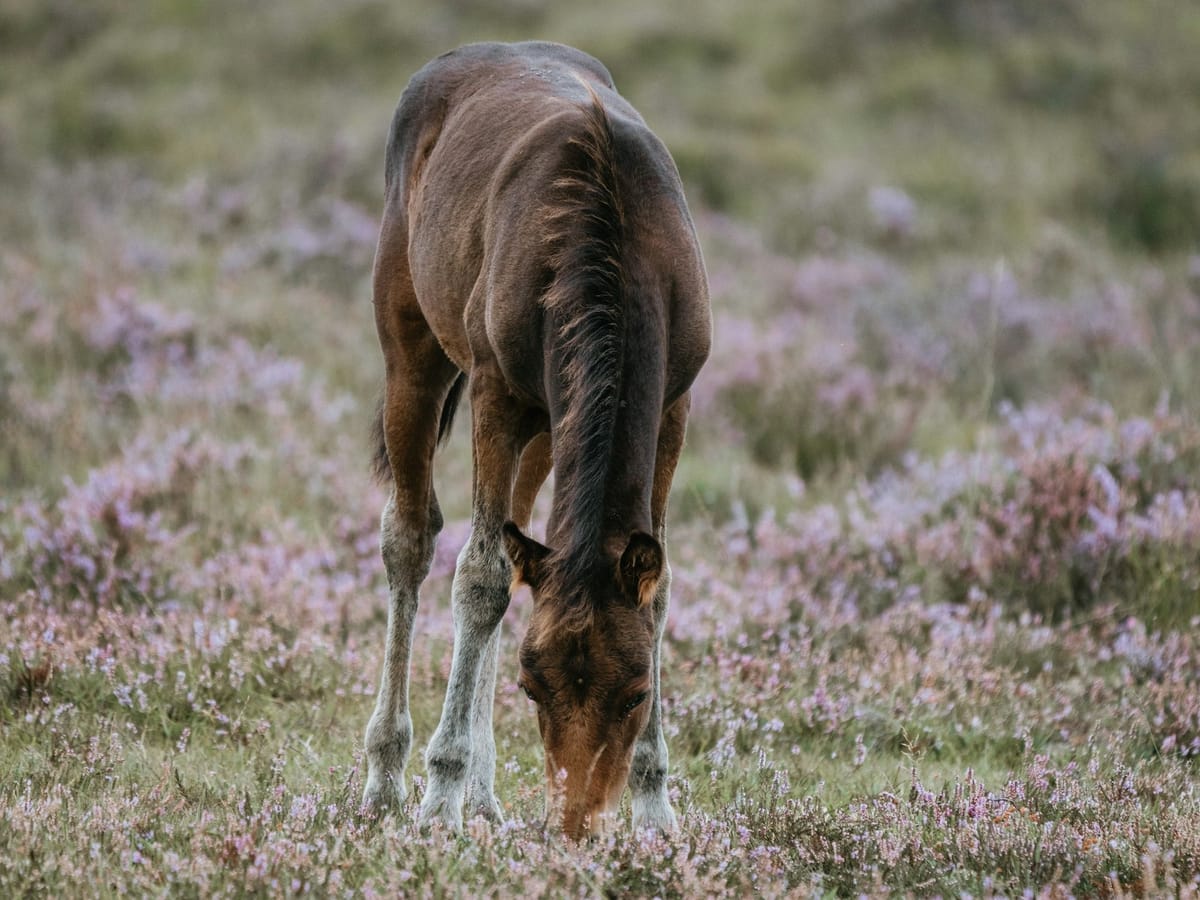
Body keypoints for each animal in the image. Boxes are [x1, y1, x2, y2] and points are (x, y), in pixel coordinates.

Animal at [360, 40, 705, 844]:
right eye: (531, 686)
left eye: (638, 691)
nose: (575, 828)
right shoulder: (496, 392)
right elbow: (480, 577)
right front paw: (441, 792)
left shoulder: (672, 406)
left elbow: (658, 594)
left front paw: (656, 809)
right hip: (413, 353)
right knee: (411, 538)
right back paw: (386, 779)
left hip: (549, 428)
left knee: (519, 542)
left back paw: (487, 798)